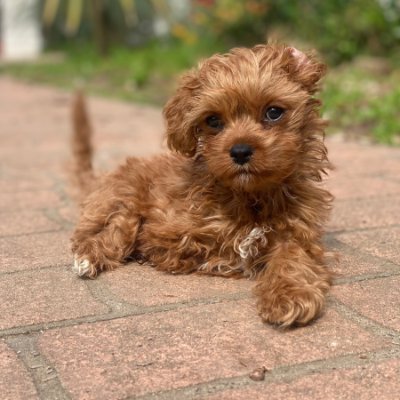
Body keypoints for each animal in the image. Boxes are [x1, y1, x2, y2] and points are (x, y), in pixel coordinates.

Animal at [70, 43, 332, 326]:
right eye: (213, 121)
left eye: (273, 112)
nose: (240, 151)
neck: (250, 196)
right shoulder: (161, 222)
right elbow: (135, 228)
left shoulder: (298, 229)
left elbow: (292, 255)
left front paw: (289, 294)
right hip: (120, 191)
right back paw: (88, 256)